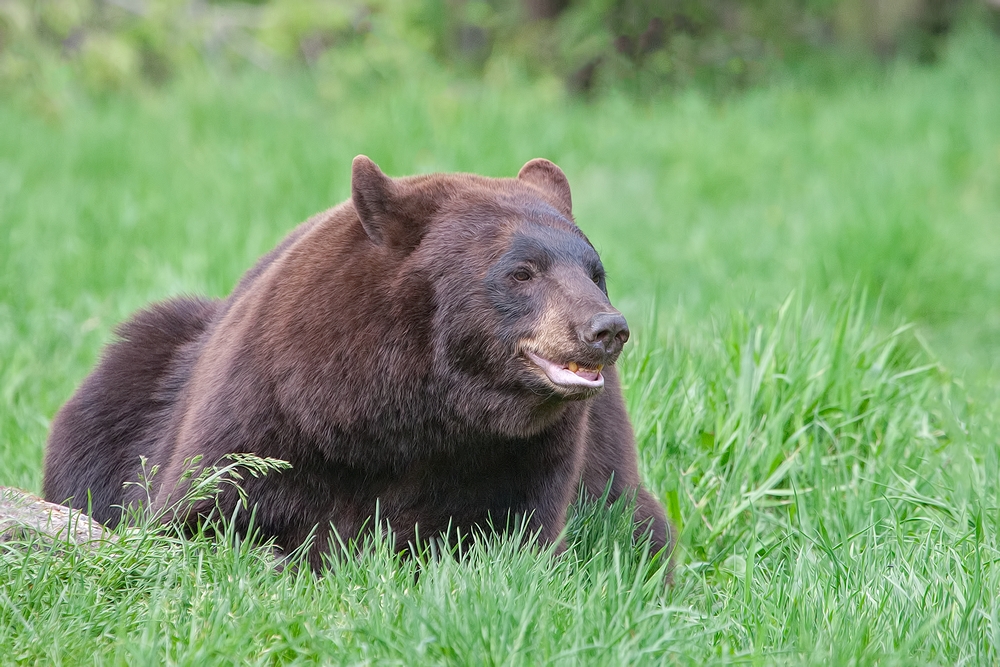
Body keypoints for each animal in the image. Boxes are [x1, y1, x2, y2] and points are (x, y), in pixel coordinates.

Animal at [43, 157, 676, 576]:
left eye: (594, 271)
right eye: (522, 271)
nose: (606, 329)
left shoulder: (523, 452)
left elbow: (499, 534)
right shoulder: (271, 412)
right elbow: (206, 511)